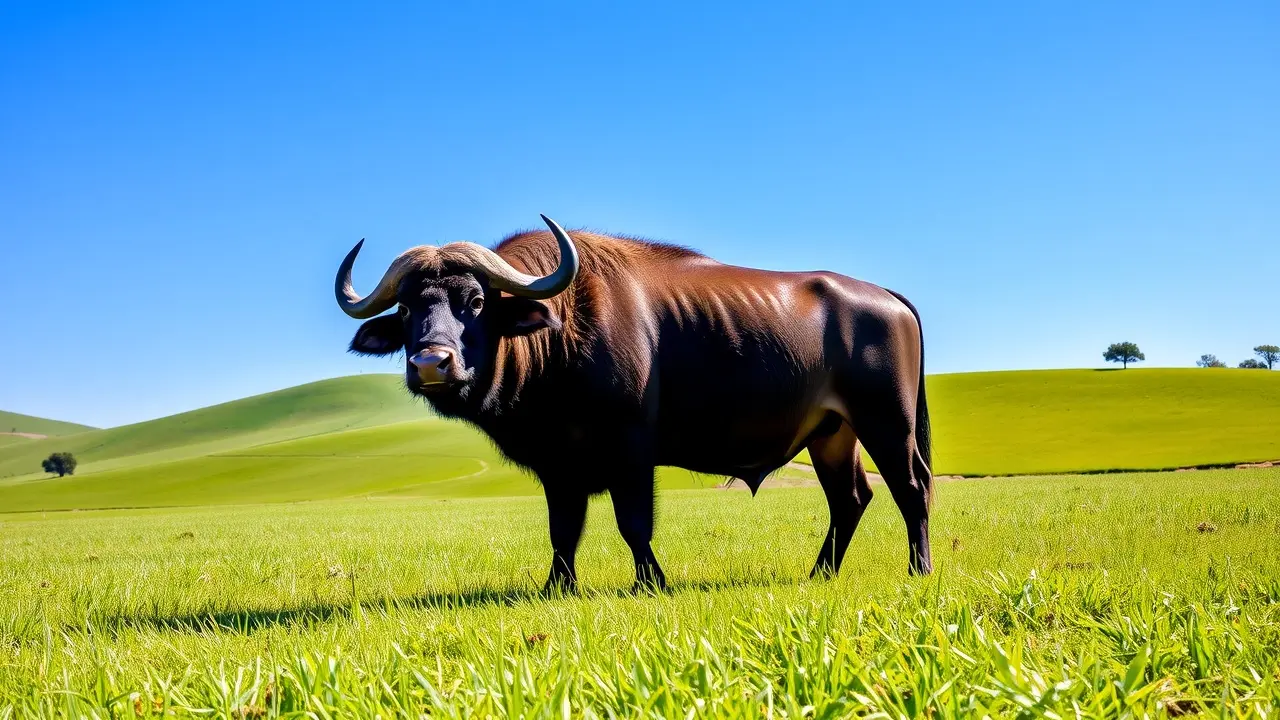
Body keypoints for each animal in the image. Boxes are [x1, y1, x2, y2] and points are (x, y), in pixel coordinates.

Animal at [336, 215, 932, 590]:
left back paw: (918, 570)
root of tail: (883, 296)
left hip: (887, 424)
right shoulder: (559, 465)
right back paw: (819, 574)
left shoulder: (631, 450)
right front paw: (557, 587)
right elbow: (563, 529)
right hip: (832, 433)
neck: (564, 330)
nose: (430, 363)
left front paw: (653, 583)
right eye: (407, 308)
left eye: (476, 301)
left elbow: (633, 523)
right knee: (851, 497)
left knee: (911, 487)